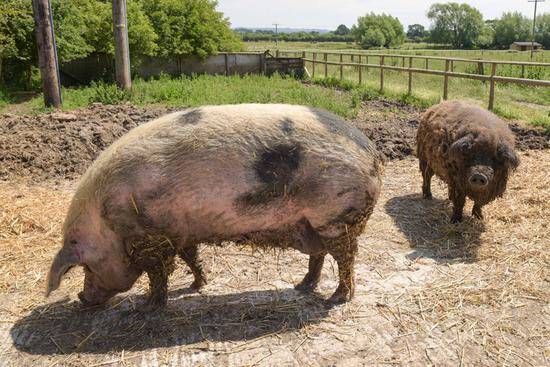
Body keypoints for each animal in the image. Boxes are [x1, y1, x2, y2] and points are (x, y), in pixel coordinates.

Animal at [46, 105, 384, 310]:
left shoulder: (150, 239)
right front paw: (198, 284)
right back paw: (301, 287)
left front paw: (148, 306)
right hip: (310, 224)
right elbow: (190, 257)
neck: (106, 222)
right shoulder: (181, 231)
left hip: (337, 217)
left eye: (86, 266)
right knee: (319, 255)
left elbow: (158, 273)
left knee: (345, 258)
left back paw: (336, 299)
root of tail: (371, 152)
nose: (81, 297)